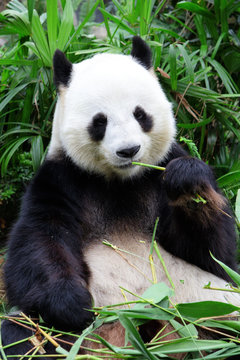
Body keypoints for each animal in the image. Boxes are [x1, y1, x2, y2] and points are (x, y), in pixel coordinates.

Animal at [0, 36, 239, 358]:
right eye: (100, 121)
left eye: (140, 114)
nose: (129, 150)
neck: (120, 182)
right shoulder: (62, 180)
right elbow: (39, 244)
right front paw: (73, 305)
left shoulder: (158, 172)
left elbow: (214, 253)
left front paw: (187, 179)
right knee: (22, 333)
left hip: (207, 307)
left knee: (222, 322)